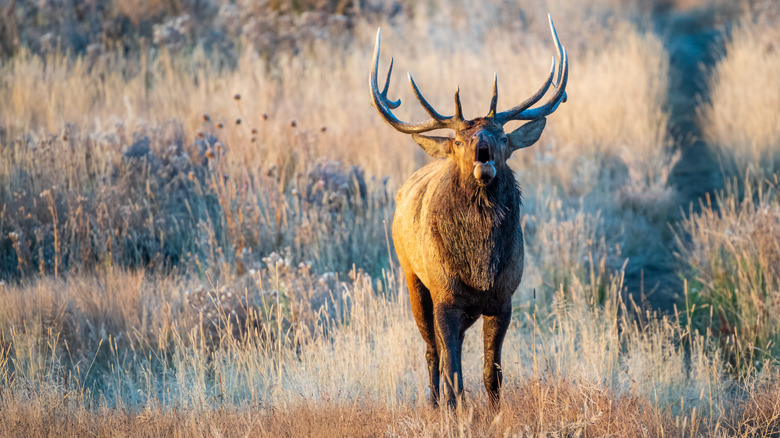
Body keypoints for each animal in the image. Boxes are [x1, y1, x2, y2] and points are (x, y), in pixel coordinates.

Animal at [368, 14, 568, 410]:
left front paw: (494, 413)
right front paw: (455, 411)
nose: (482, 146)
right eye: (459, 140)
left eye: (502, 136)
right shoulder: (445, 295)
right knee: (433, 351)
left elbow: (493, 374)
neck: (480, 268)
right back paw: (434, 403)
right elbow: (454, 371)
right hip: (412, 277)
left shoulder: (504, 299)